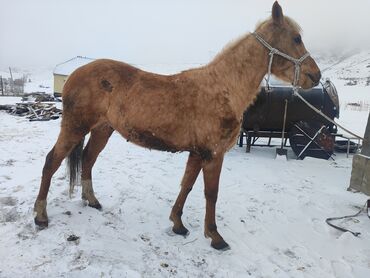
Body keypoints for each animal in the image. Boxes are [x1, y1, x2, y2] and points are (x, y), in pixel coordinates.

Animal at [33, 1, 320, 250]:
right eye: (296, 38)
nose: (315, 76)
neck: (223, 89)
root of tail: (74, 75)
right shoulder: (213, 154)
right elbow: (211, 193)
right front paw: (215, 236)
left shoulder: (197, 153)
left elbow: (187, 186)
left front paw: (178, 224)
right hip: (75, 127)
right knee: (51, 161)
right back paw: (40, 216)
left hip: (102, 130)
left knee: (88, 159)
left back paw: (91, 200)